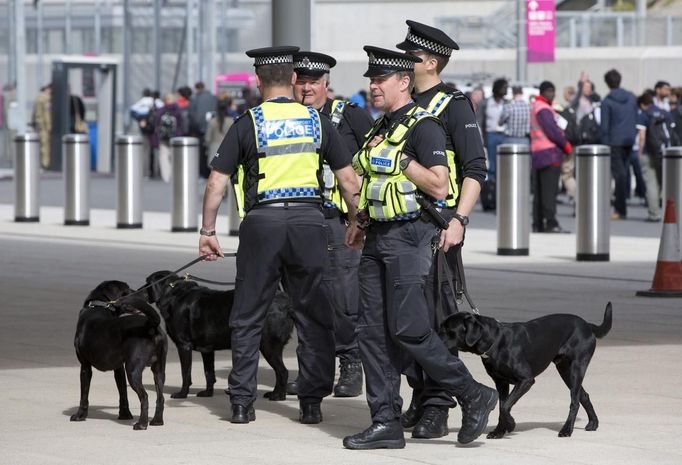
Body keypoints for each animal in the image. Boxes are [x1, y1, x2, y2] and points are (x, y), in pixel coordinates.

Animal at [70, 280, 167, 428]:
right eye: (125, 290)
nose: (145, 293)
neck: (99, 306)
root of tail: (151, 325)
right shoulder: (119, 368)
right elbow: (123, 393)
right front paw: (125, 415)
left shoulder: (85, 366)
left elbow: (84, 394)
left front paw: (79, 415)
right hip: (159, 370)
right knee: (160, 397)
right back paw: (157, 421)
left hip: (133, 370)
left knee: (145, 397)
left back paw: (141, 424)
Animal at [143, 272, 292, 398]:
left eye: (147, 282)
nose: (139, 290)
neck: (174, 293)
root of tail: (285, 303)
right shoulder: (207, 349)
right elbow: (209, 373)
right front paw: (208, 393)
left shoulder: (183, 345)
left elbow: (186, 374)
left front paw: (182, 394)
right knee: (280, 372)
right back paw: (276, 394)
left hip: (269, 346)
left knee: (282, 371)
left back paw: (278, 396)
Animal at [438, 302, 612, 436]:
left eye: (448, 330)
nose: (434, 337)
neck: (495, 340)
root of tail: (587, 325)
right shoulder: (501, 382)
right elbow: (502, 406)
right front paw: (499, 431)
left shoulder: (526, 380)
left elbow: (506, 406)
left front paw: (511, 424)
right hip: (565, 370)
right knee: (584, 395)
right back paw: (593, 423)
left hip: (576, 367)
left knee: (575, 401)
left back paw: (567, 430)